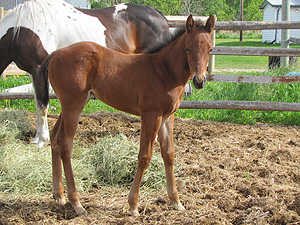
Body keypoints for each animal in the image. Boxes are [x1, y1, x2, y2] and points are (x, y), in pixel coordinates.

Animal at [0, 0, 170, 147]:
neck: (22, 28)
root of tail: (157, 13)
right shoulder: (32, 72)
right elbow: (37, 102)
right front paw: (37, 138)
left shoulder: (38, 68)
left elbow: (42, 105)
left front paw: (41, 140)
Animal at [35, 14, 216, 215]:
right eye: (187, 48)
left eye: (210, 49)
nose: (199, 81)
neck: (164, 71)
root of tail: (55, 54)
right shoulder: (151, 115)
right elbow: (145, 156)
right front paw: (133, 204)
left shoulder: (167, 117)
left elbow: (169, 154)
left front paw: (176, 201)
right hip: (74, 105)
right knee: (66, 144)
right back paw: (76, 203)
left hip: (69, 105)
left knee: (55, 137)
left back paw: (59, 195)